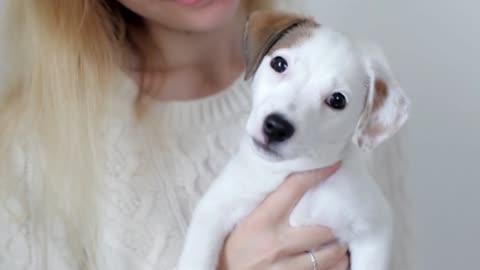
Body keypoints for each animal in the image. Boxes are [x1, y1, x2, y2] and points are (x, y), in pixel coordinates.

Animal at [176, 10, 408, 270]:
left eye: (337, 100)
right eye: (279, 64)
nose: (276, 127)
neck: (290, 169)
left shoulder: (374, 228)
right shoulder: (215, 209)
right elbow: (198, 256)